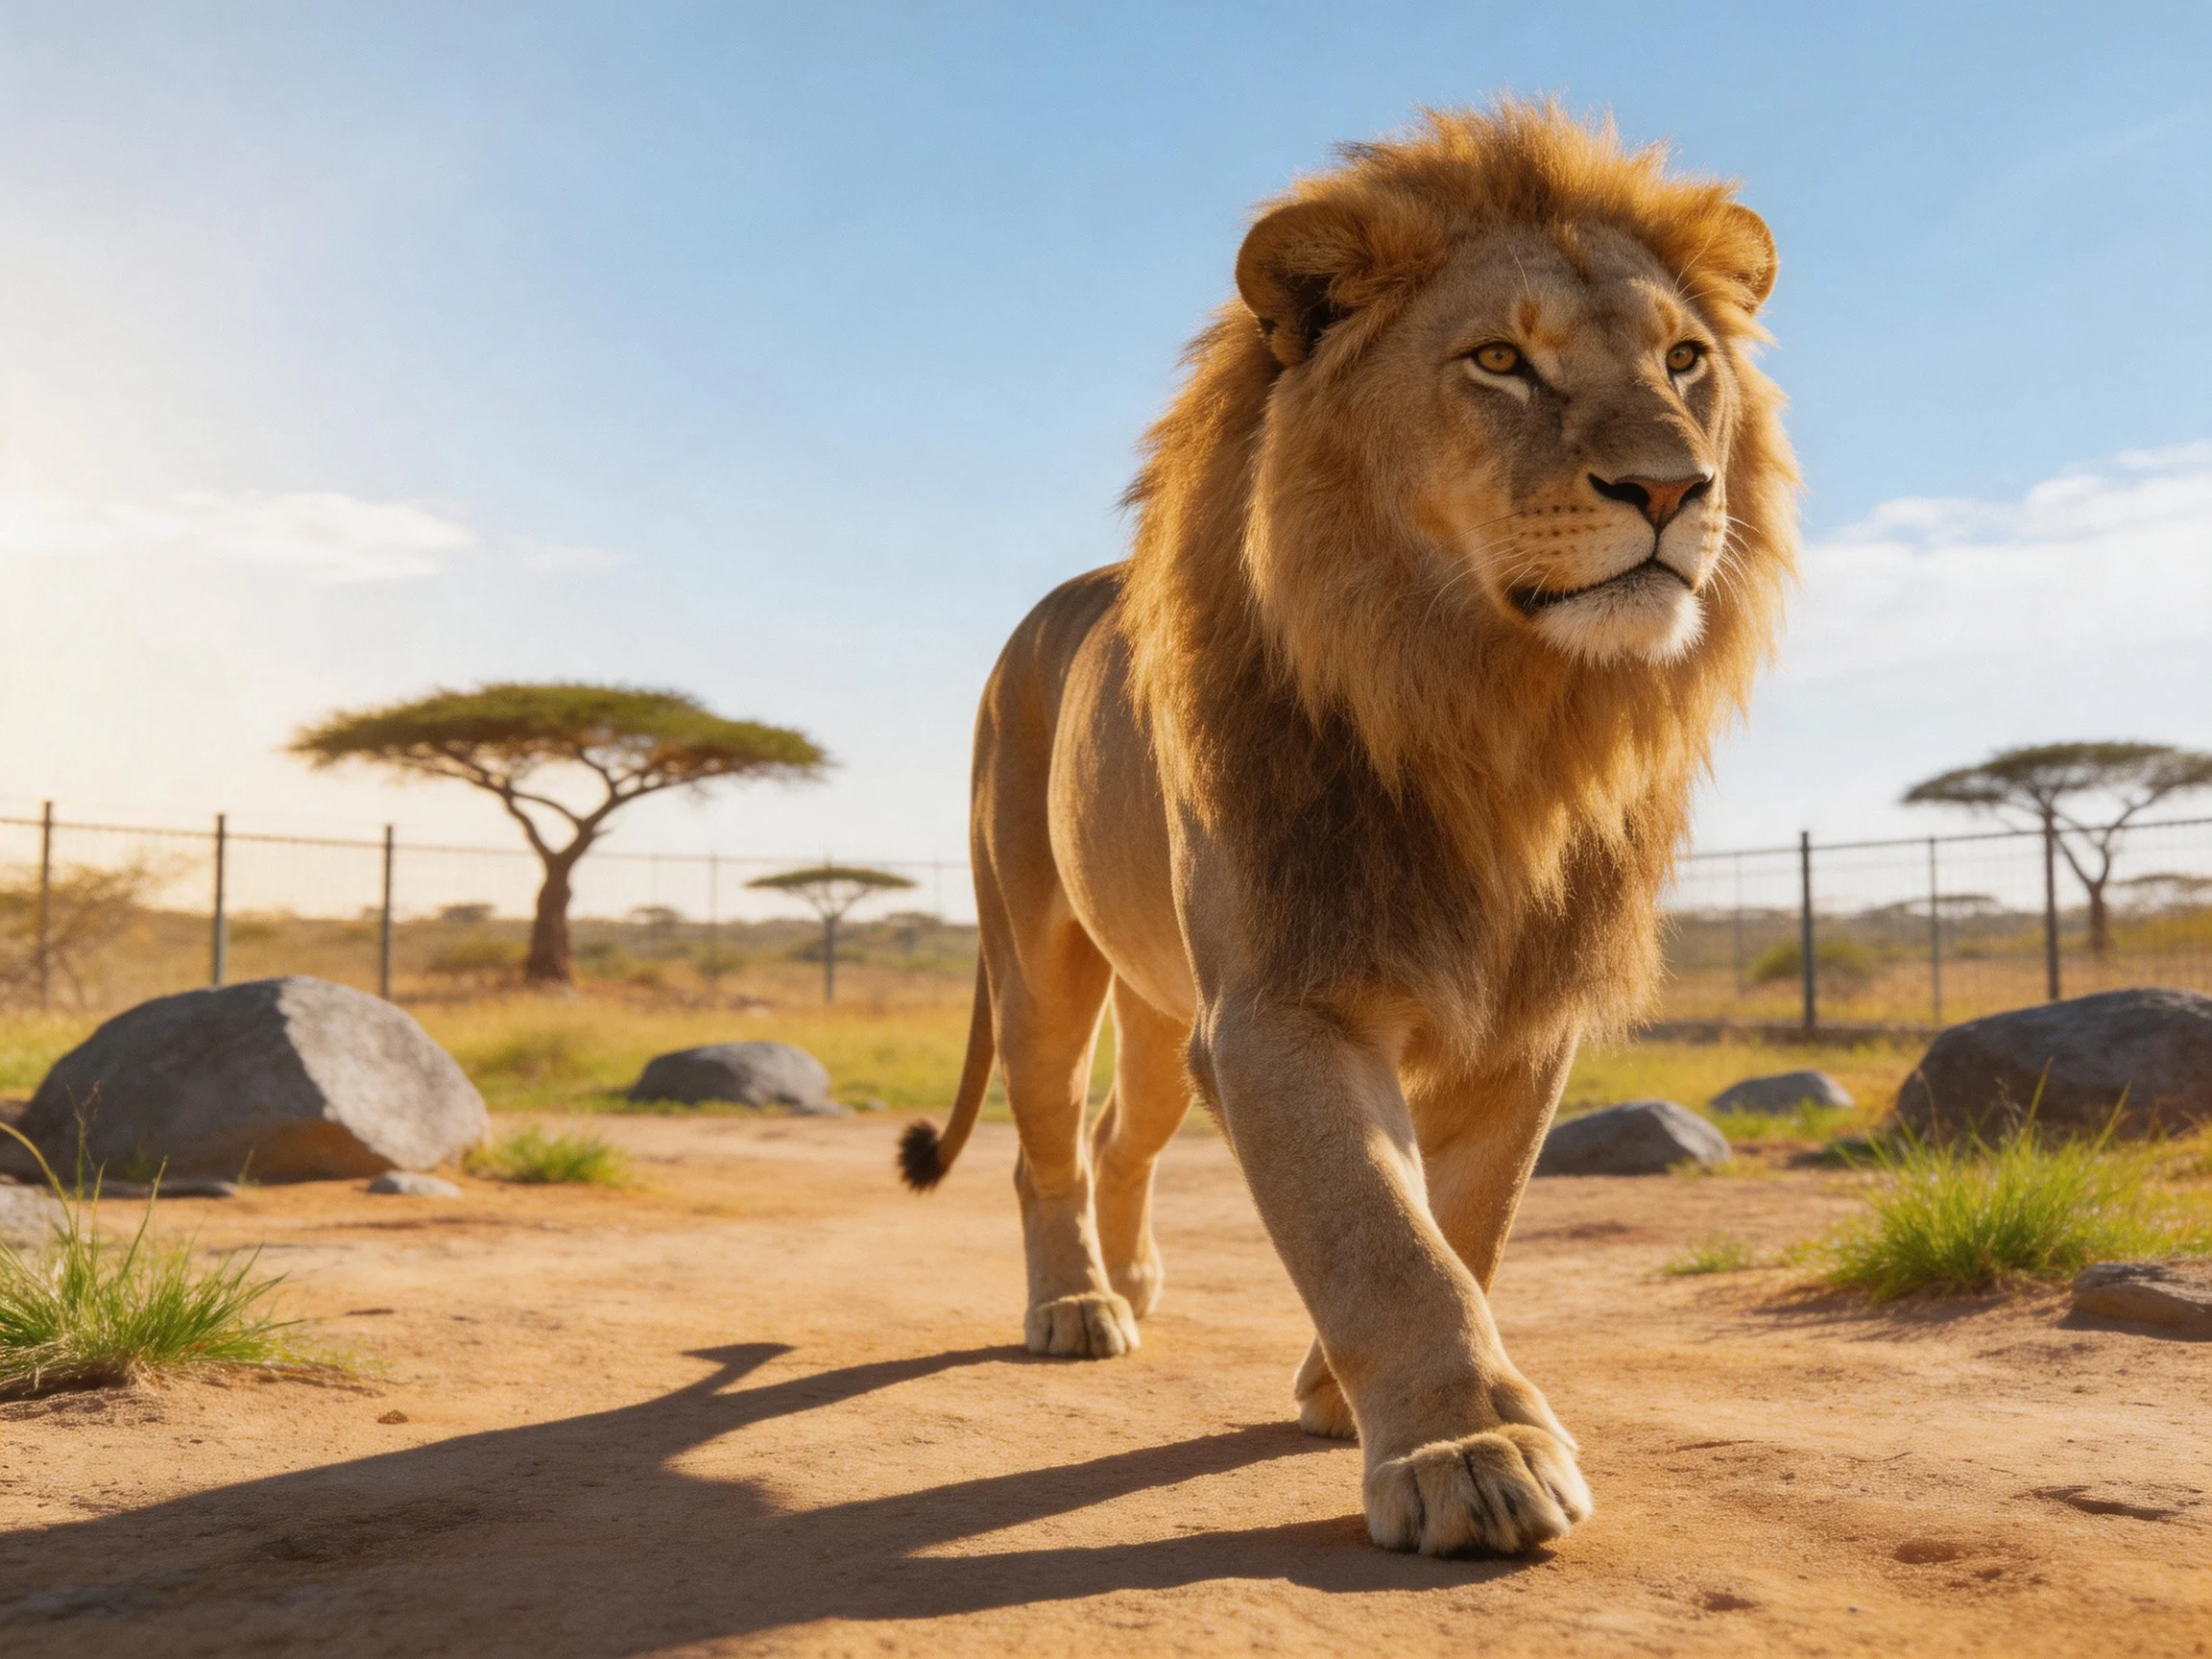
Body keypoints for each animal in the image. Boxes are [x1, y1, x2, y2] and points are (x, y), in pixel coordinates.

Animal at [898, 101, 1796, 1558]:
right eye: (1500, 361)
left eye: (1684, 360)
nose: (1675, 489)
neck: (1492, 711)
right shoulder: (1282, 1002)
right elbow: (1378, 1227)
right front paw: (1468, 1452)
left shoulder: (1523, 1016)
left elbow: (1467, 1219)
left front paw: (1344, 1392)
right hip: (1039, 959)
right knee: (1048, 1146)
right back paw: (1077, 1306)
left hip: (1163, 1007)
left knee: (1122, 1133)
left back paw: (1135, 1278)